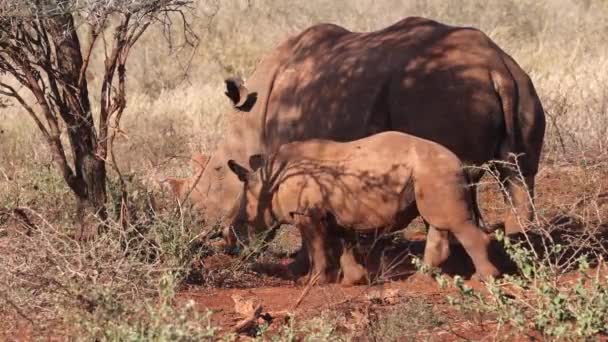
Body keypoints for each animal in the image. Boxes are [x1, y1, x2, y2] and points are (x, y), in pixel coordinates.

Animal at [180, 17, 548, 243]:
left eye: (219, 172)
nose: (220, 233)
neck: (251, 117)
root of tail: (495, 67)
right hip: (522, 85)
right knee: (519, 174)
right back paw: (520, 245)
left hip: (443, 92)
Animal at [228, 131, 498, 286]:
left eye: (242, 223)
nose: (237, 252)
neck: (266, 182)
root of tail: (460, 163)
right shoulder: (332, 212)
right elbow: (342, 244)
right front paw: (353, 281)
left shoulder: (307, 213)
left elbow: (316, 247)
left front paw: (311, 281)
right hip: (430, 173)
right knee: (436, 223)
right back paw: (419, 279)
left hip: (436, 170)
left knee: (454, 223)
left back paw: (485, 279)